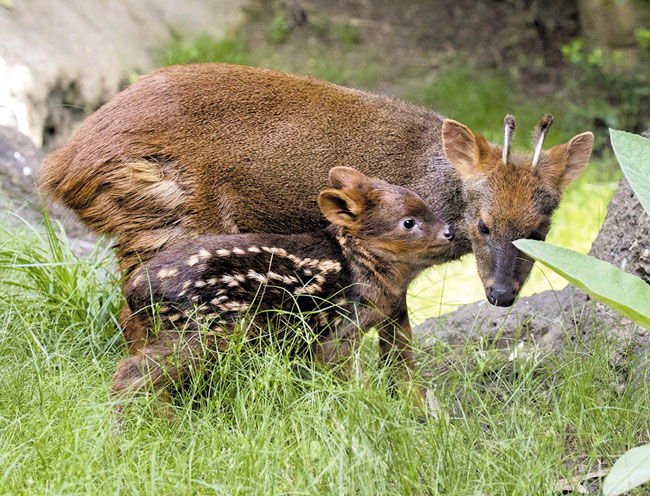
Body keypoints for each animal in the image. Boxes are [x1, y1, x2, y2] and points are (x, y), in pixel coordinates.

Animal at [110, 167, 450, 404]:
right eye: (408, 222)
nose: (449, 232)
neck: (359, 265)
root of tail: (136, 291)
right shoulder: (338, 331)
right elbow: (344, 379)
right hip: (202, 329)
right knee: (132, 372)